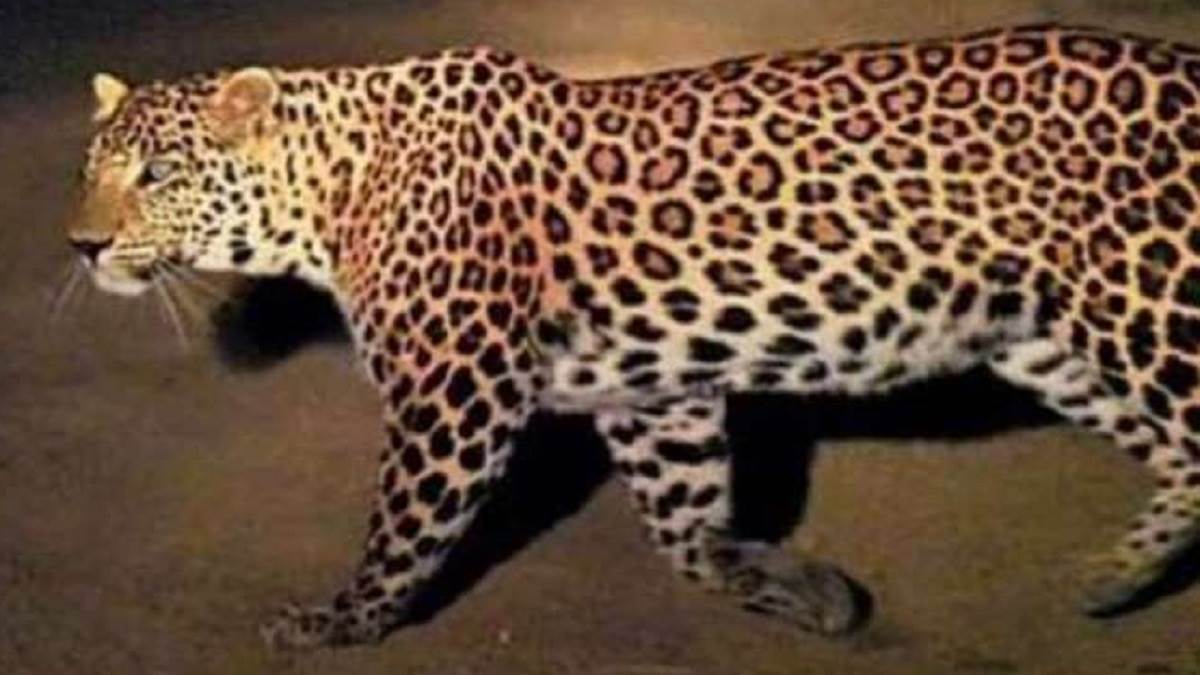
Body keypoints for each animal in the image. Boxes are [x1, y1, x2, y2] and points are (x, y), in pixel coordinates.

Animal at [67, 23, 1200, 650]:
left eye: (156, 175)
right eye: (90, 166)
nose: (81, 243)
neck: (329, 192)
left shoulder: (456, 388)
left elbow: (405, 525)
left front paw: (340, 622)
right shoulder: (653, 393)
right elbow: (687, 530)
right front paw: (798, 587)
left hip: (1150, 302)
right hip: (1049, 338)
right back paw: (1111, 577)